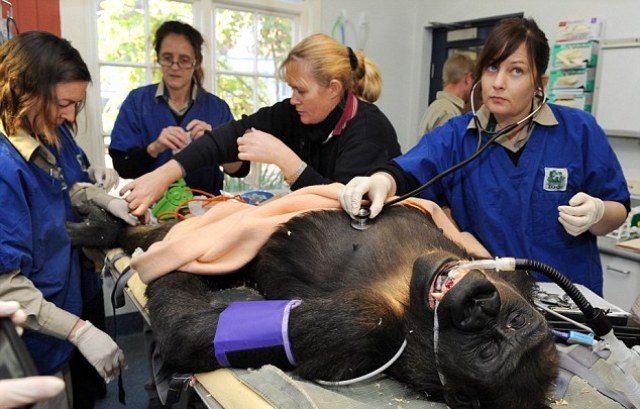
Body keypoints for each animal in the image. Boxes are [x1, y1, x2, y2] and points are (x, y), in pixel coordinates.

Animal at [112, 204, 556, 408]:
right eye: (514, 321)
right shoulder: (510, 274)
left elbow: (186, 331)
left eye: (486, 351)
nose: (478, 304)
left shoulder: (366, 327)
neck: (404, 297)